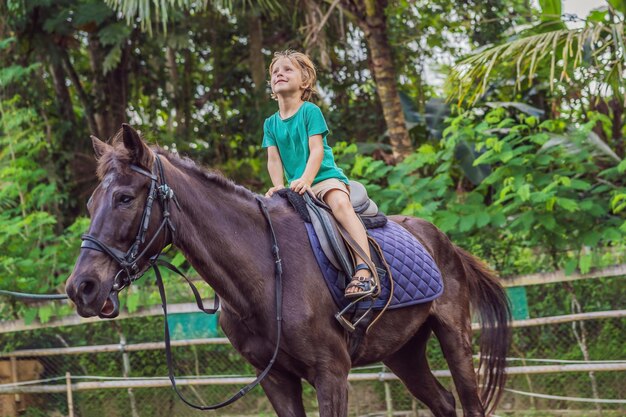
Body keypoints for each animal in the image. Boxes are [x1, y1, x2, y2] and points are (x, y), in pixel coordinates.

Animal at [66, 125, 510, 416]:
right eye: (90, 204)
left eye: (125, 198)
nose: (81, 287)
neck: (265, 277)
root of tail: (441, 240)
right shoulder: (276, 380)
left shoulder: (332, 374)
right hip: (403, 352)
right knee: (444, 403)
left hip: (454, 336)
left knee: (469, 404)